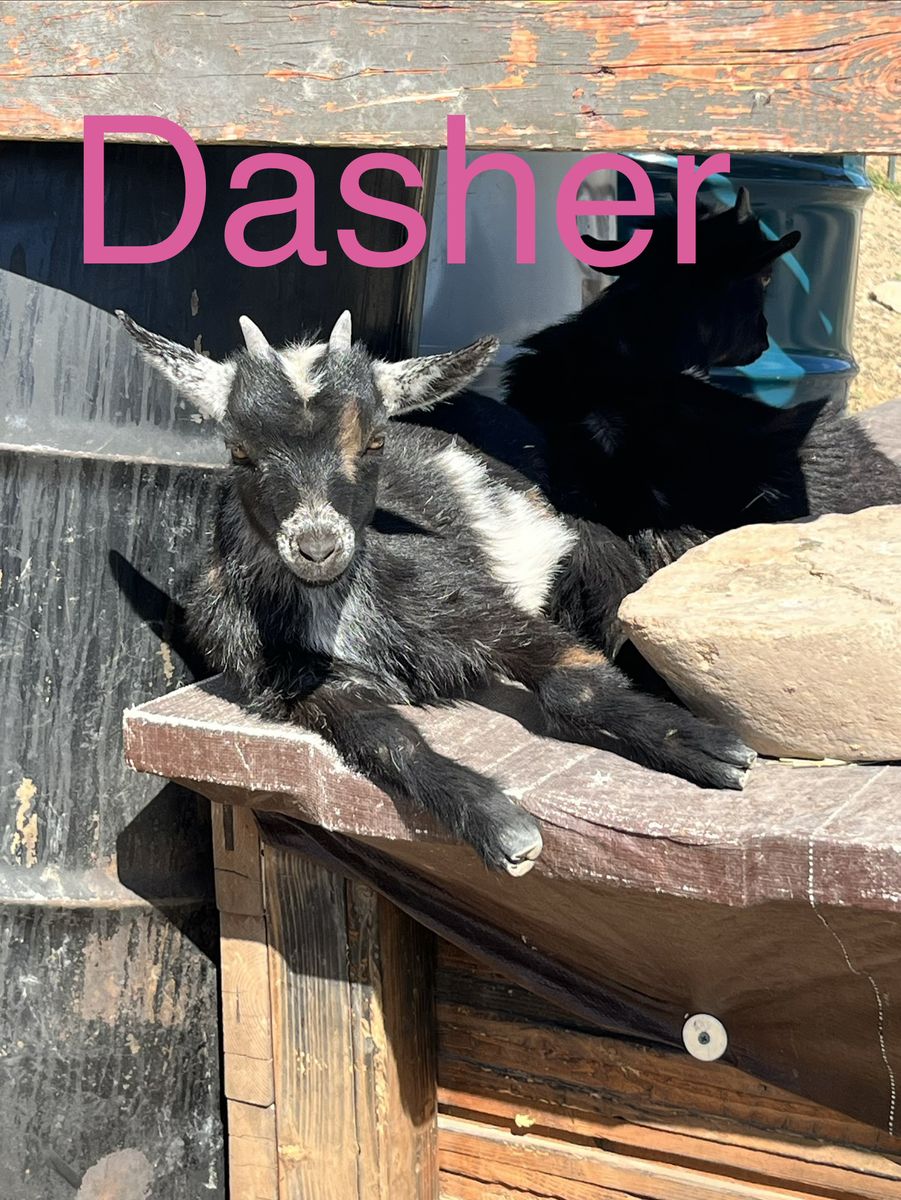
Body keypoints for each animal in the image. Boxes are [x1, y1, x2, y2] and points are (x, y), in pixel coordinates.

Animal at [119, 308, 754, 875]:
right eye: (238, 449)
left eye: (374, 441)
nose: (318, 546)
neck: (335, 606)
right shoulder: (295, 684)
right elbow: (389, 742)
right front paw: (497, 822)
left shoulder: (476, 605)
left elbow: (573, 686)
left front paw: (703, 748)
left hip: (586, 539)